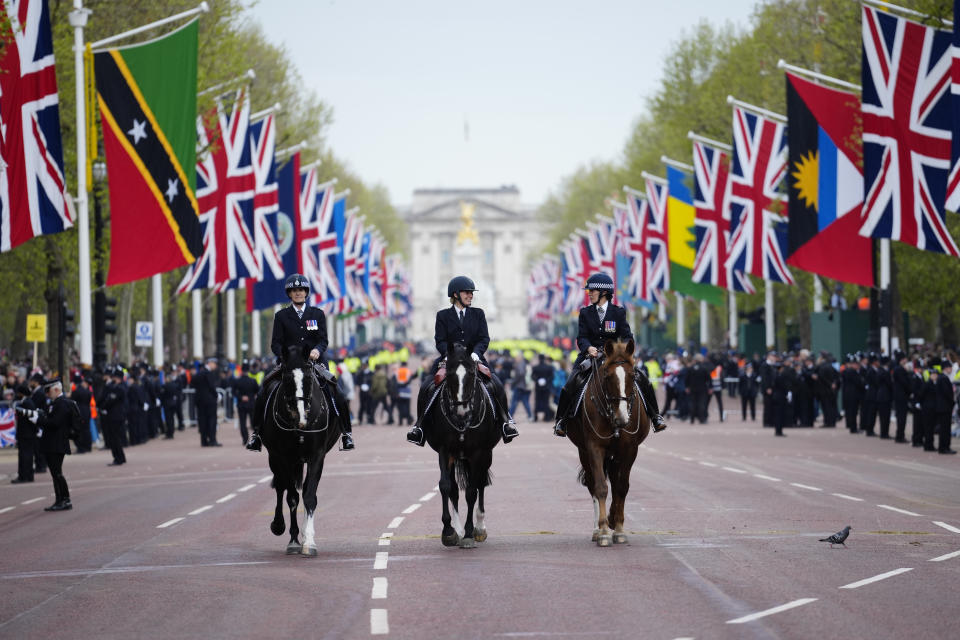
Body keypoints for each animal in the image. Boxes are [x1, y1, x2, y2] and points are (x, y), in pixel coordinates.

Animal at [258, 344, 342, 556]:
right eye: (287, 378)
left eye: (309, 378)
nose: (301, 418)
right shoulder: (283, 457)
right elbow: (292, 498)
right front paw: (294, 540)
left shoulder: (316, 456)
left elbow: (309, 496)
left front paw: (309, 541)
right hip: (276, 459)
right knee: (281, 487)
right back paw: (279, 525)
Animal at [416, 342, 498, 548]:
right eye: (450, 373)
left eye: (471, 372)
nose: (462, 409)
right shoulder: (445, 451)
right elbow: (446, 486)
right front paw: (449, 531)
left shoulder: (478, 452)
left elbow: (471, 491)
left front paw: (469, 533)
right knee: (454, 488)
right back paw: (458, 529)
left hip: (486, 455)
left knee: (480, 484)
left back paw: (479, 528)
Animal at [564, 340, 652, 544]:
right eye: (607, 375)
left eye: (632, 375)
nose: (622, 418)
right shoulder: (594, 447)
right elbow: (601, 487)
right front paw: (604, 530)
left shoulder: (630, 449)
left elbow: (621, 487)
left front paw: (618, 527)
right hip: (584, 451)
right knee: (593, 484)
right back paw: (597, 529)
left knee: (614, 480)